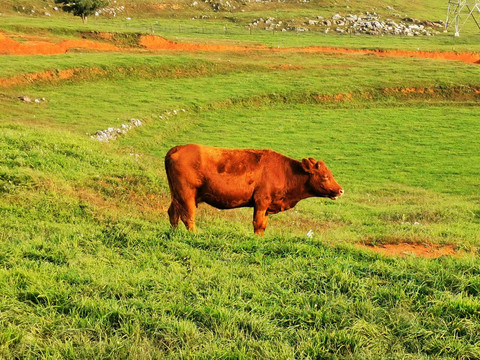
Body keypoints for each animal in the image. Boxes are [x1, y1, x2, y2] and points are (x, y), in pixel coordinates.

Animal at [165, 145, 342, 235]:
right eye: (325, 176)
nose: (341, 190)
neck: (285, 172)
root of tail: (177, 148)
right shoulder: (261, 201)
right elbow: (258, 224)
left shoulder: (267, 205)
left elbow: (263, 225)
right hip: (187, 194)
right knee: (188, 217)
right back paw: (194, 236)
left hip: (177, 195)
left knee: (173, 213)